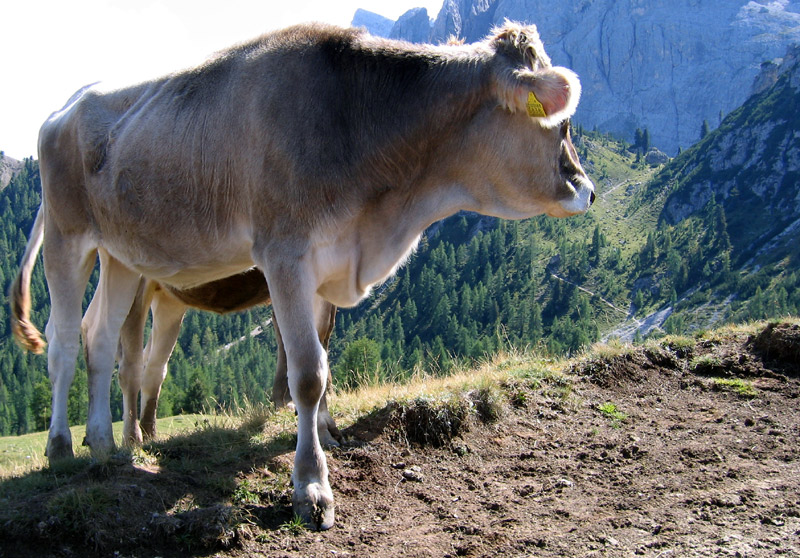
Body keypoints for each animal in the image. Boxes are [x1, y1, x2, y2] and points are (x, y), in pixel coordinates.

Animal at [7, 20, 592, 528]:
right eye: (561, 123)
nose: (585, 189)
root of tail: (66, 106)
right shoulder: (284, 255)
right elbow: (307, 372)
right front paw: (312, 488)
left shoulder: (324, 266)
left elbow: (322, 357)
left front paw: (325, 441)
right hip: (67, 238)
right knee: (65, 341)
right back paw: (62, 445)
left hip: (123, 256)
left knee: (101, 340)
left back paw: (105, 445)